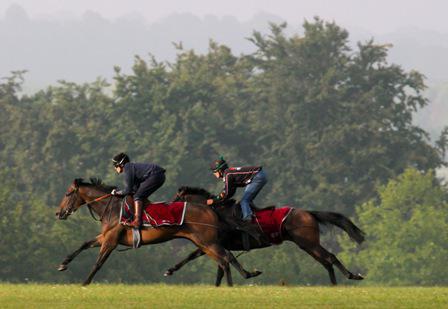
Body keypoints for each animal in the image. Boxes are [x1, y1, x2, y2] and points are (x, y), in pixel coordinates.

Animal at [54, 177, 260, 286]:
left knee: (226, 258)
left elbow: (98, 263)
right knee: (224, 259)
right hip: (203, 243)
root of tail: (211, 209)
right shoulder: (105, 237)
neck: (111, 207)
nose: (58, 213)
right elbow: (83, 244)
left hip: (207, 242)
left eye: (67, 193)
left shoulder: (110, 241)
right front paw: (63, 264)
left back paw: (240, 280)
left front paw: (84, 283)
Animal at [164, 185, 364, 284]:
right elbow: (196, 258)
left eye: (176, 199)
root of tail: (309, 213)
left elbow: (220, 262)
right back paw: (334, 284)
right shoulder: (211, 243)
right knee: (326, 261)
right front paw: (170, 270)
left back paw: (353, 276)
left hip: (309, 243)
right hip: (307, 245)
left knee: (330, 257)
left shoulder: (214, 243)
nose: (167, 208)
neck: (216, 213)